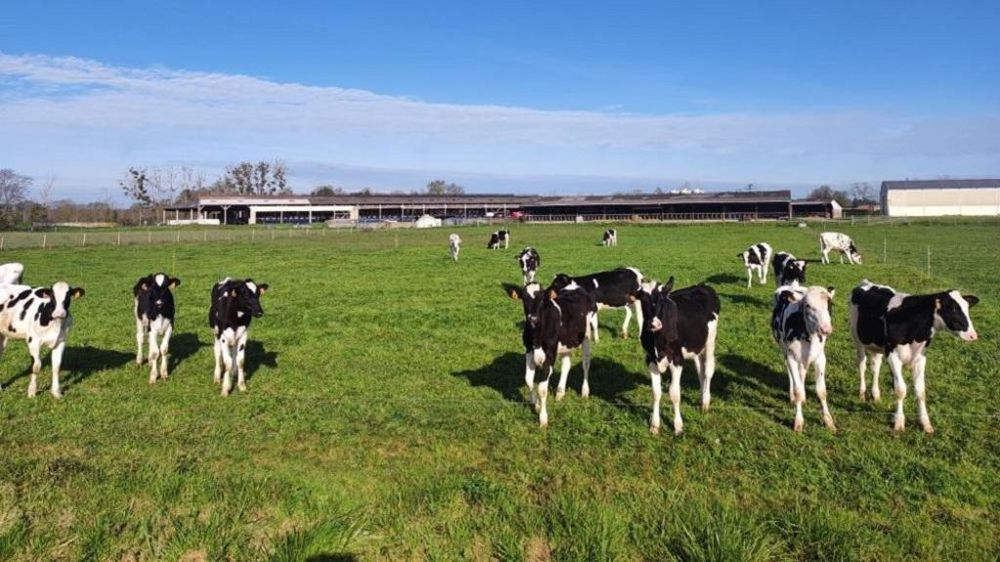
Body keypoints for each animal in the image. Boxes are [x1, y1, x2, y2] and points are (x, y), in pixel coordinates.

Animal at [502, 281, 595, 427]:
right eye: (524, 299)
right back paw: (560, 392)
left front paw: (543, 419)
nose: (533, 319)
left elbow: (541, 388)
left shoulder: (550, 355)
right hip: (566, 342)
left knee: (586, 363)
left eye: (542, 300)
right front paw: (536, 405)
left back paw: (585, 391)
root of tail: (574, 285)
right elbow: (528, 380)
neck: (537, 337)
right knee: (566, 365)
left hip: (586, 335)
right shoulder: (529, 351)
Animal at [633, 277, 719, 435]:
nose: (654, 324)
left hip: (710, 341)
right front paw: (654, 425)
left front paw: (678, 426)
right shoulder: (650, 360)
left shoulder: (677, 360)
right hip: (695, 347)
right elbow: (656, 393)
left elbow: (674, 394)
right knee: (700, 371)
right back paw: (701, 396)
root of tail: (701, 286)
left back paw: (705, 402)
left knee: (708, 371)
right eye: (643, 300)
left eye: (662, 300)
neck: (658, 341)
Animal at [771, 284, 837, 432]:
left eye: (830, 304)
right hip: (784, 350)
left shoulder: (820, 358)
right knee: (792, 374)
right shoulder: (791, 356)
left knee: (802, 373)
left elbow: (821, 391)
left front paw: (828, 421)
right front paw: (798, 422)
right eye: (807, 305)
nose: (825, 329)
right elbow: (797, 391)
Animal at [849, 279, 979, 432]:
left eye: (967, 307)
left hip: (876, 346)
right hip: (857, 339)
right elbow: (900, 390)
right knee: (862, 366)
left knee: (875, 368)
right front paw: (899, 422)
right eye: (953, 308)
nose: (973, 335)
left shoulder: (920, 358)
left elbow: (920, 391)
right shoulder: (893, 357)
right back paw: (862, 393)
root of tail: (866, 282)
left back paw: (876, 395)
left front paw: (925, 423)